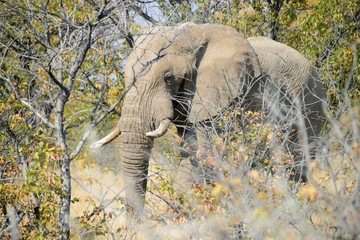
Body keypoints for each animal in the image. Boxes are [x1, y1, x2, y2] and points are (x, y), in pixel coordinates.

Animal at [89, 23, 324, 213]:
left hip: (310, 108)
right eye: (126, 76)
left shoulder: (218, 100)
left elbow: (200, 156)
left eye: (168, 78)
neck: (193, 35)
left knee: (294, 167)